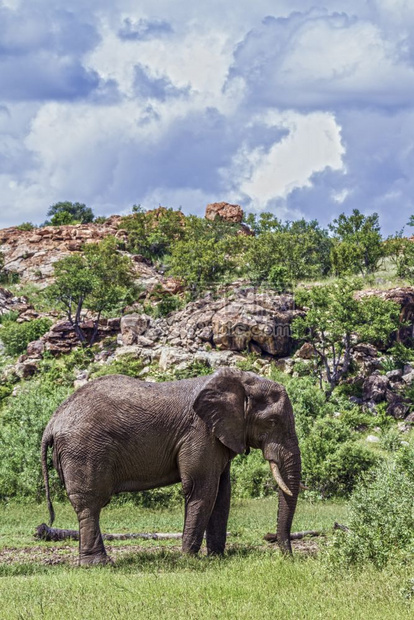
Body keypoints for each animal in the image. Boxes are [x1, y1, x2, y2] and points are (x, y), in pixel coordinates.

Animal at [42, 368, 300, 568]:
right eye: (272, 422)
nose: (287, 558)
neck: (239, 381)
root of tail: (52, 422)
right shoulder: (199, 433)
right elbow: (202, 489)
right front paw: (189, 560)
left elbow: (222, 493)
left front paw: (217, 559)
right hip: (84, 451)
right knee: (90, 504)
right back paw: (99, 565)